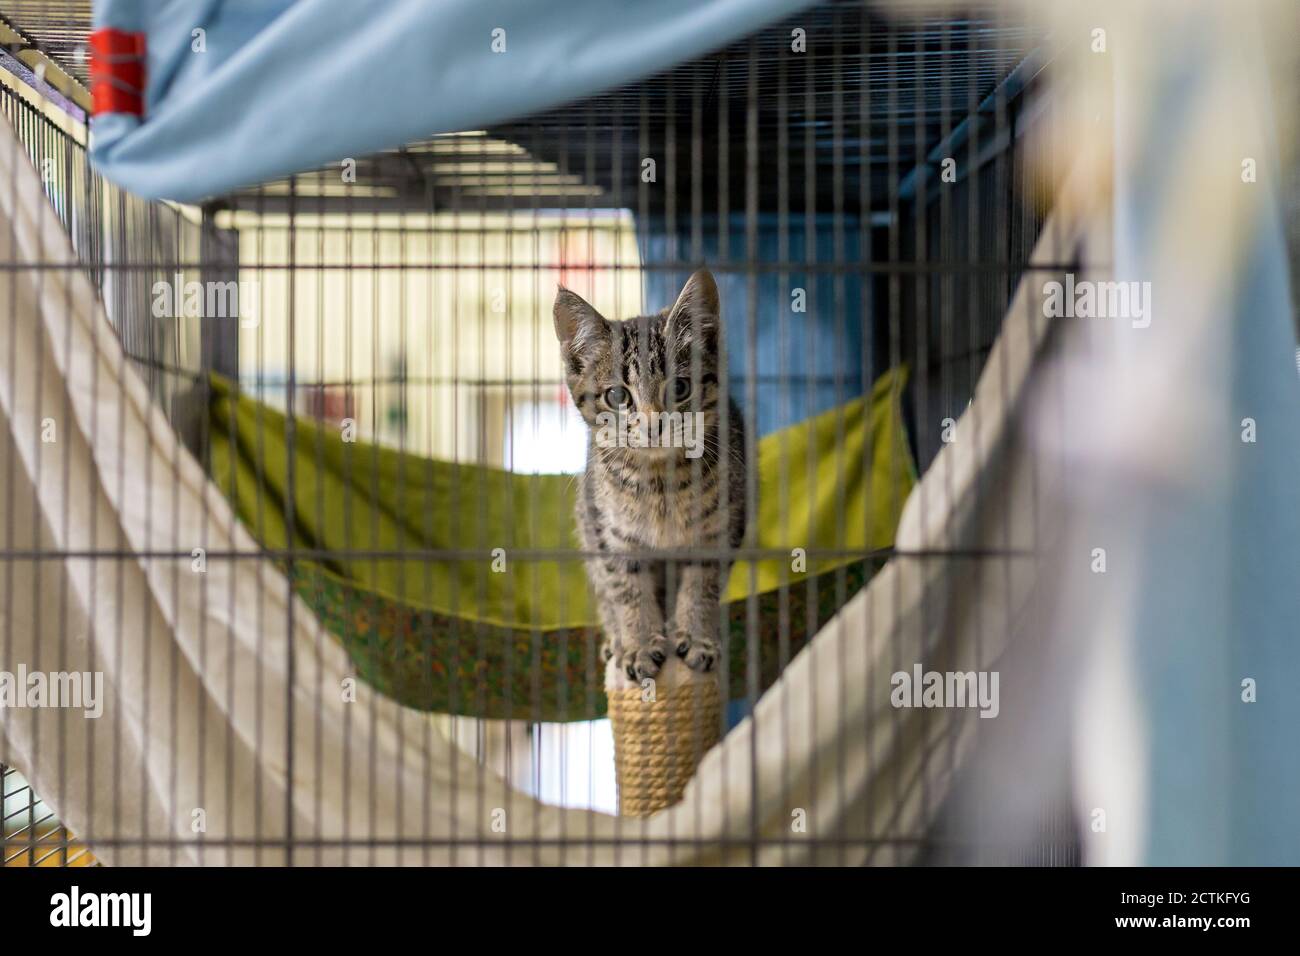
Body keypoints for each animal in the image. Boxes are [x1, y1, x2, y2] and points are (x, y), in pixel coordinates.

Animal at [553, 273, 748, 686]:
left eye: (680, 388)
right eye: (617, 396)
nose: (654, 424)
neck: (660, 482)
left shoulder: (719, 529)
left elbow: (702, 586)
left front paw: (697, 637)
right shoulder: (610, 533)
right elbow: (627, 590)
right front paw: (639, 644)